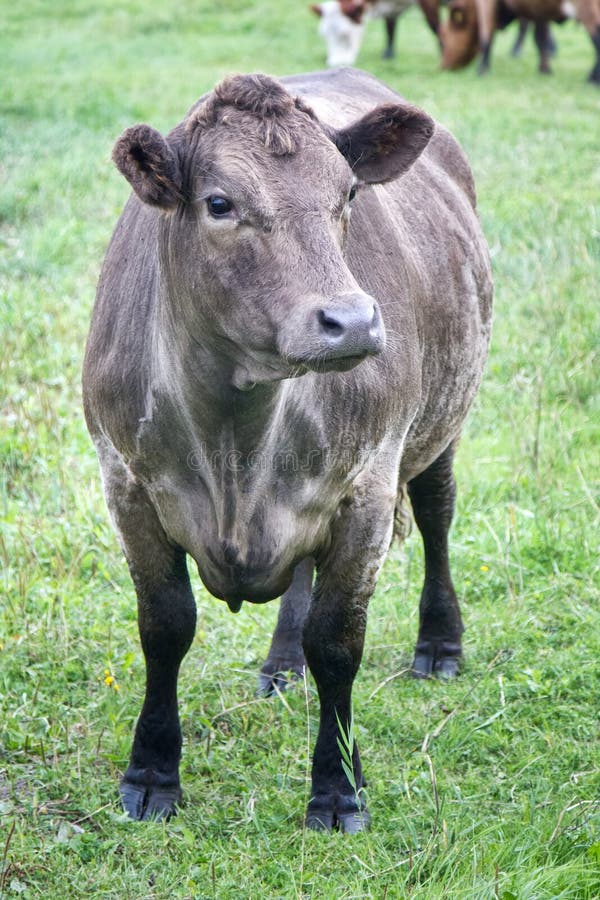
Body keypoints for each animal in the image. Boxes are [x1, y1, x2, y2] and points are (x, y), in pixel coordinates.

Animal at [81, 67, 492, 832]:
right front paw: (151, 772)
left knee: (437, 512)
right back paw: (280, 665)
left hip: (443, 420)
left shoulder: (367, 490)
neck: (233, 444)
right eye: (219, 203)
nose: (352, 321)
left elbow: (336, 642)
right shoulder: (126, 485)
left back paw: (439, 643)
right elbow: (165, 626)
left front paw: (338, 789)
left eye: (348, 195)